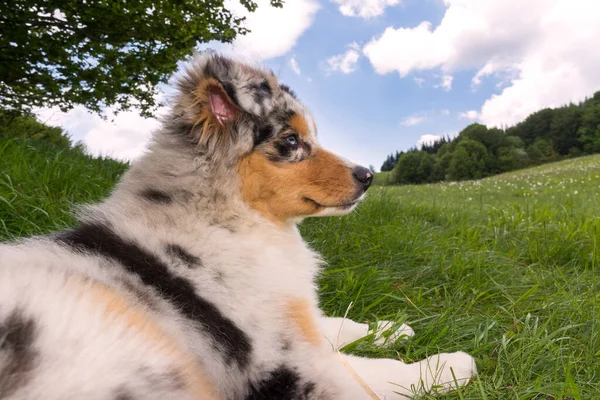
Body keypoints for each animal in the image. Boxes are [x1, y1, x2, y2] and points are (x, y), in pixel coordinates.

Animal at [1, 54, 478, 398]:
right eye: (290, 141)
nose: (368, 176)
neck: (226, 218)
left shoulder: (283, 311)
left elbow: (331, 324)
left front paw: (390, 329)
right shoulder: (285, 362)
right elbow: (369, 373)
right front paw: (447, 365)